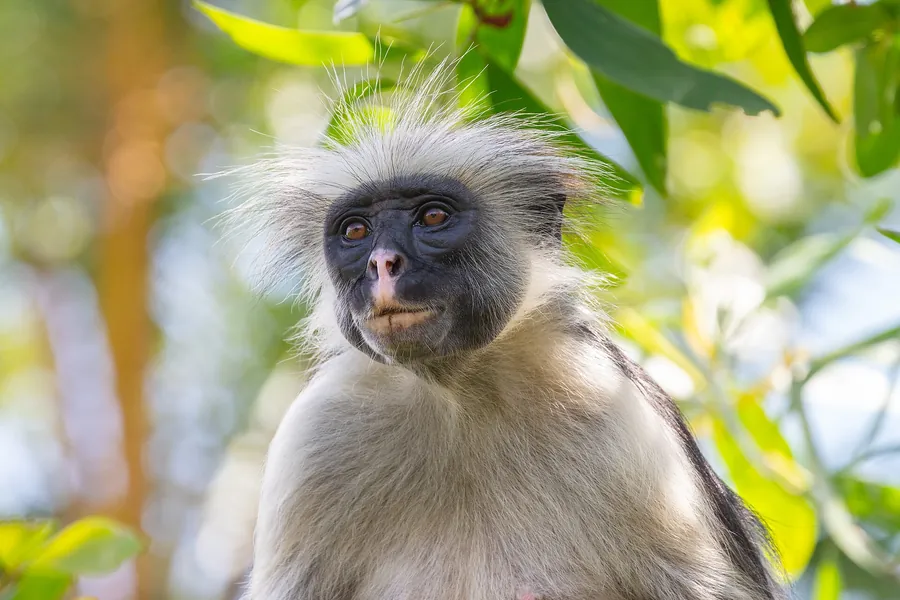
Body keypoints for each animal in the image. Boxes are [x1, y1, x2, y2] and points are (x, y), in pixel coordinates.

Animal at [220, 58, 788, 600]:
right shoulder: (317, 434)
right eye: (356, 231)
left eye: (432, 217)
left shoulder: (612, 407)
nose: (382, 263)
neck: (457, 398)